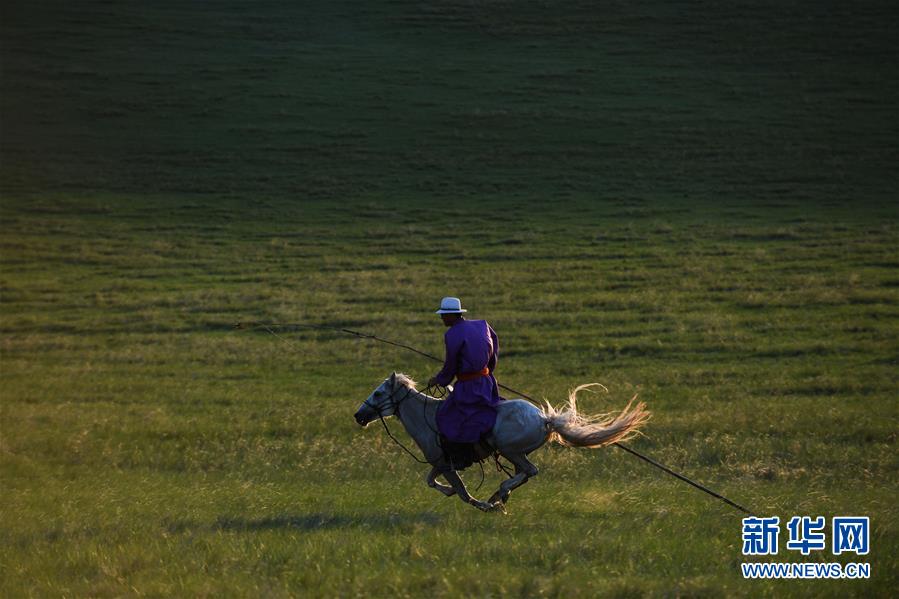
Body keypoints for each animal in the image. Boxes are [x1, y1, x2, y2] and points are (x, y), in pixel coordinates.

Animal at [352, 372, 648, 512]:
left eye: (378, 393)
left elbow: (463, 493)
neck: (428, 417)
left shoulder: (447, 465)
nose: (358, 416)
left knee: (529, 471)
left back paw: (499, 493)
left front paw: (486, 506)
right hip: (513, 454)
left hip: (509, 450)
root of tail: (544, 418)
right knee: (524, 473)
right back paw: (502, 493)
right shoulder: (440, 463)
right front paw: (451, 493)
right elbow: (431, 481)